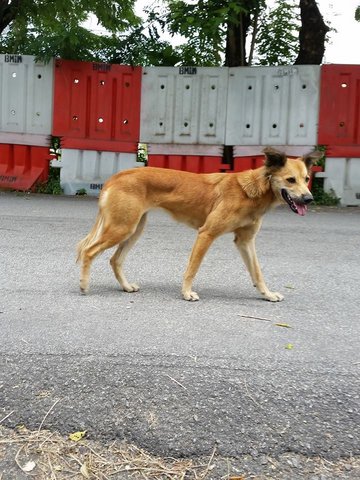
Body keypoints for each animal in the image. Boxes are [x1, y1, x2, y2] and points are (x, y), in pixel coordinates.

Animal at [78, 148, 320, 302]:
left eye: (306, 179)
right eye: (290, 180)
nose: (309, 199)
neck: (252, 190)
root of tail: (118, 175)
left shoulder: (245, 241)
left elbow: (257, 272)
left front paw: (267, 294)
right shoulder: (206, 234)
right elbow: (192, 269)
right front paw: (186, 293)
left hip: (134, 230)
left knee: (115, 260)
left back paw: (126, 287)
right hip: (122, 228)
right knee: (88, 252)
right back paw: (84, 285)